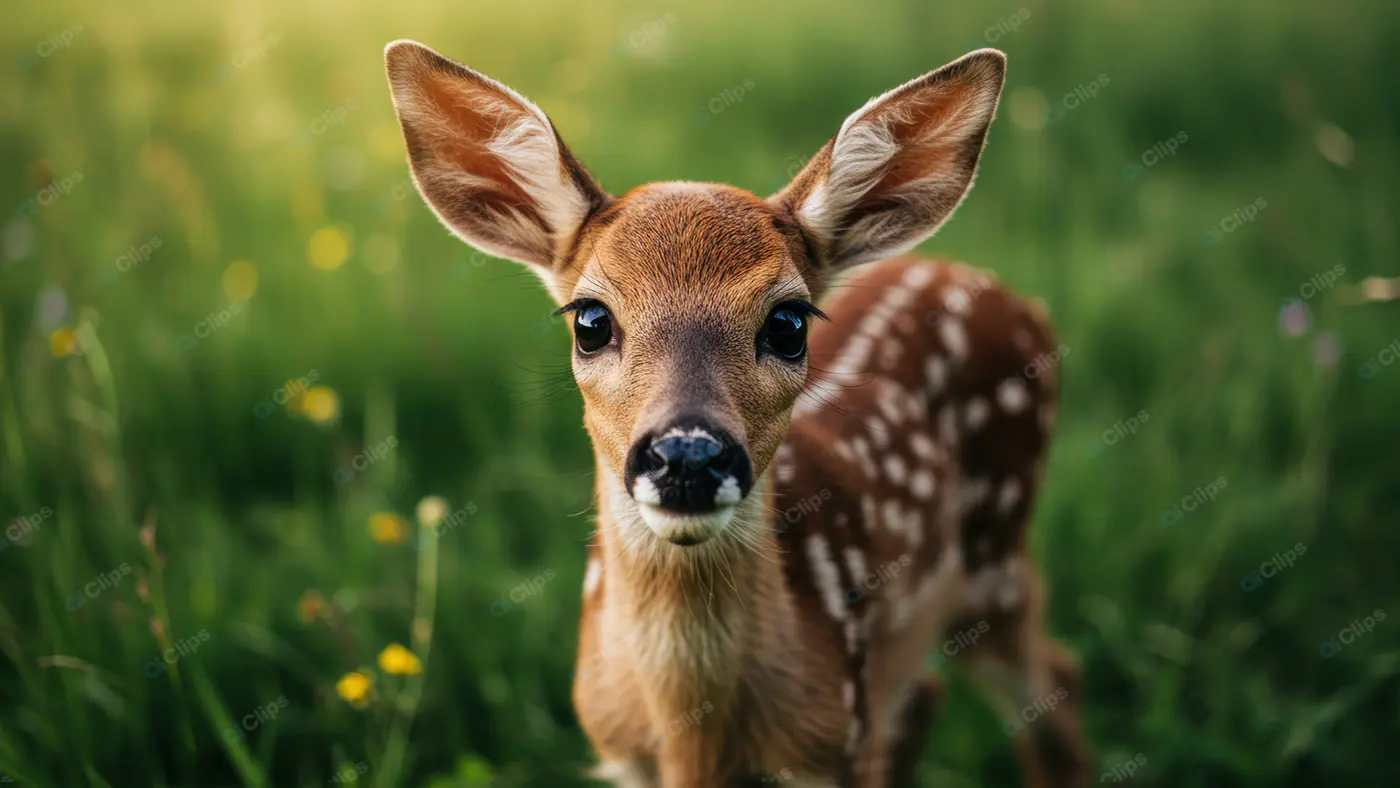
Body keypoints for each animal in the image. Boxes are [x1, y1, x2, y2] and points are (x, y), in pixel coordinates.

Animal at [384, 39, 1090, 788]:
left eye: (788, 322)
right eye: (590, 320)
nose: (688, 455)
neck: (697, 744)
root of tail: (996, 288)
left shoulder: (838, 747)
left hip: (998, 548)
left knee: (1054, 680)